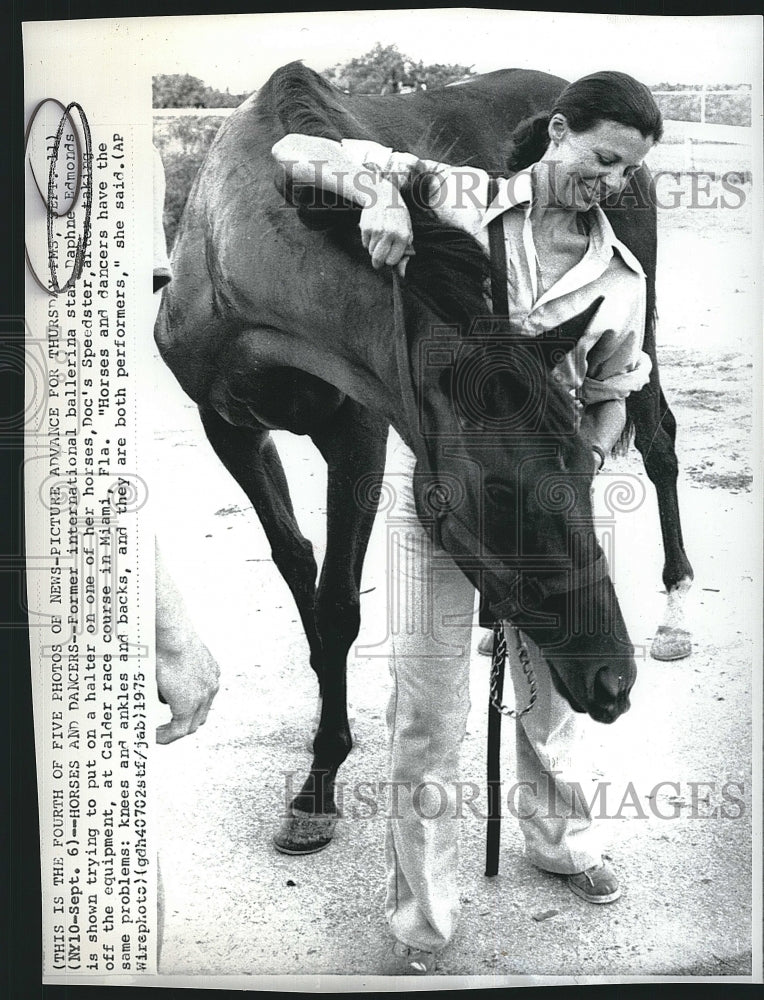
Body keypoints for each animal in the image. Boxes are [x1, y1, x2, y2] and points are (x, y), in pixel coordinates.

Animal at [155, 60, 692, 852]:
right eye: (495, 491)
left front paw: (321, 778)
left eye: (581, 468)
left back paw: (677, 607)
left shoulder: (360, 431)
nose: (611, 681)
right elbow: (300, 569)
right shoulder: (228, 426)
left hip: (644, 321)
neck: (233, 258)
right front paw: (322, 762)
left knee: (659, 443)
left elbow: (339, 605)